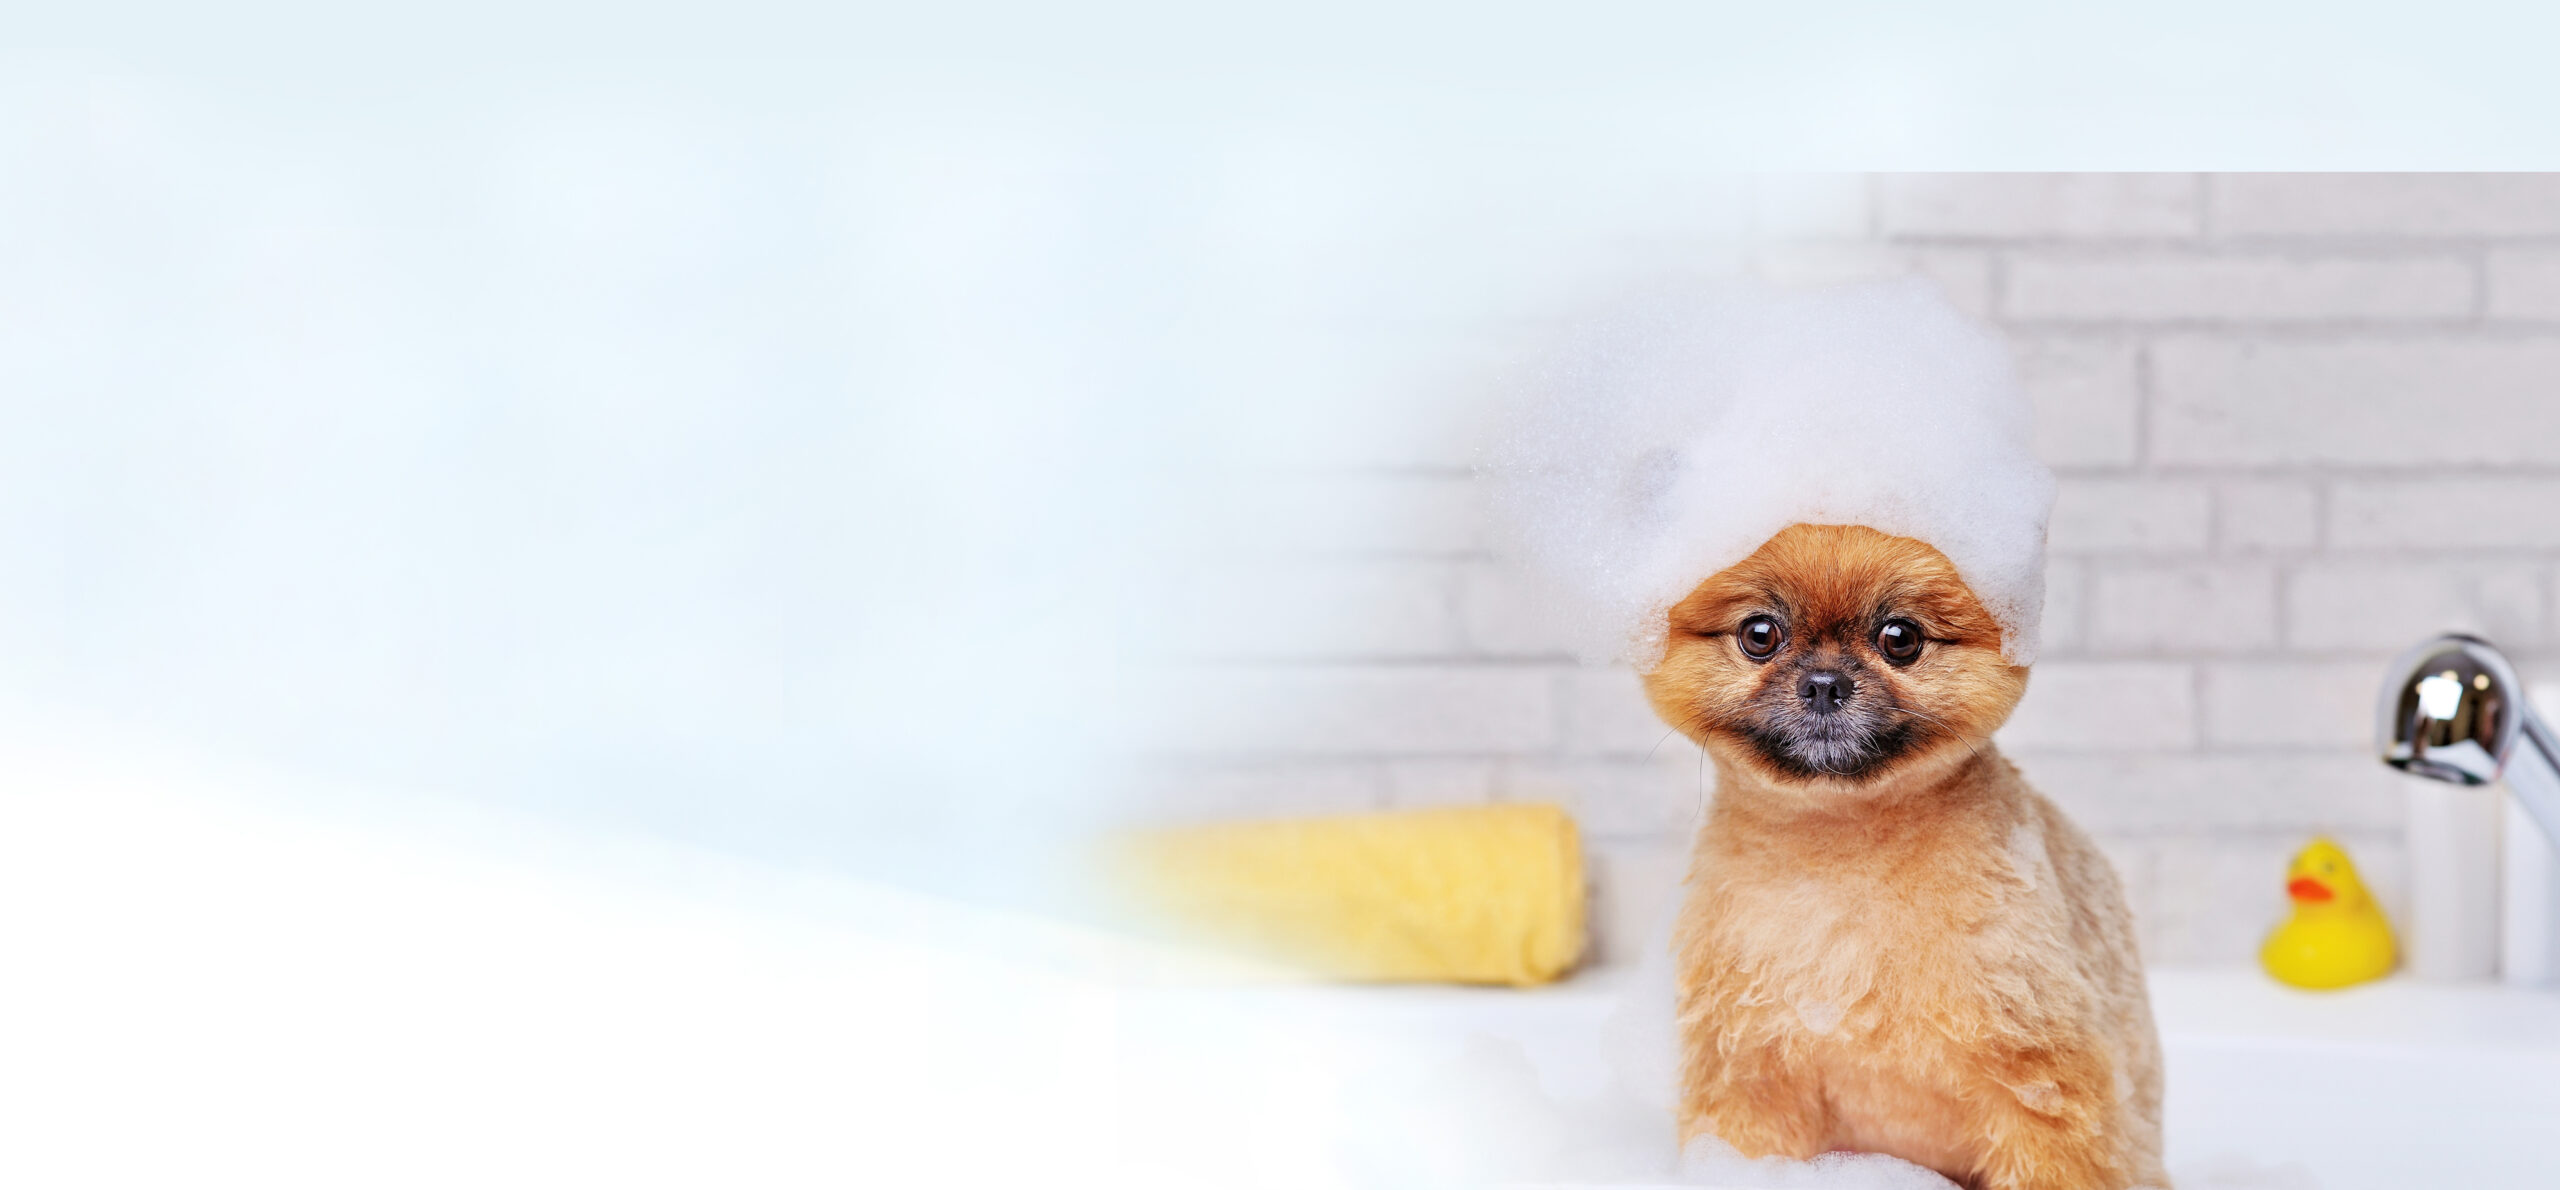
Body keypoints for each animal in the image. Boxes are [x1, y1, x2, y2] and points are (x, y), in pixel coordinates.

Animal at [1638, 522, 2160, 1187]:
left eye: (1900, 638)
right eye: (1760, 634)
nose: (1825, 683)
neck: (1843, 848)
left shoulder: (2039, 1082)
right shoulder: (1750, 1072)